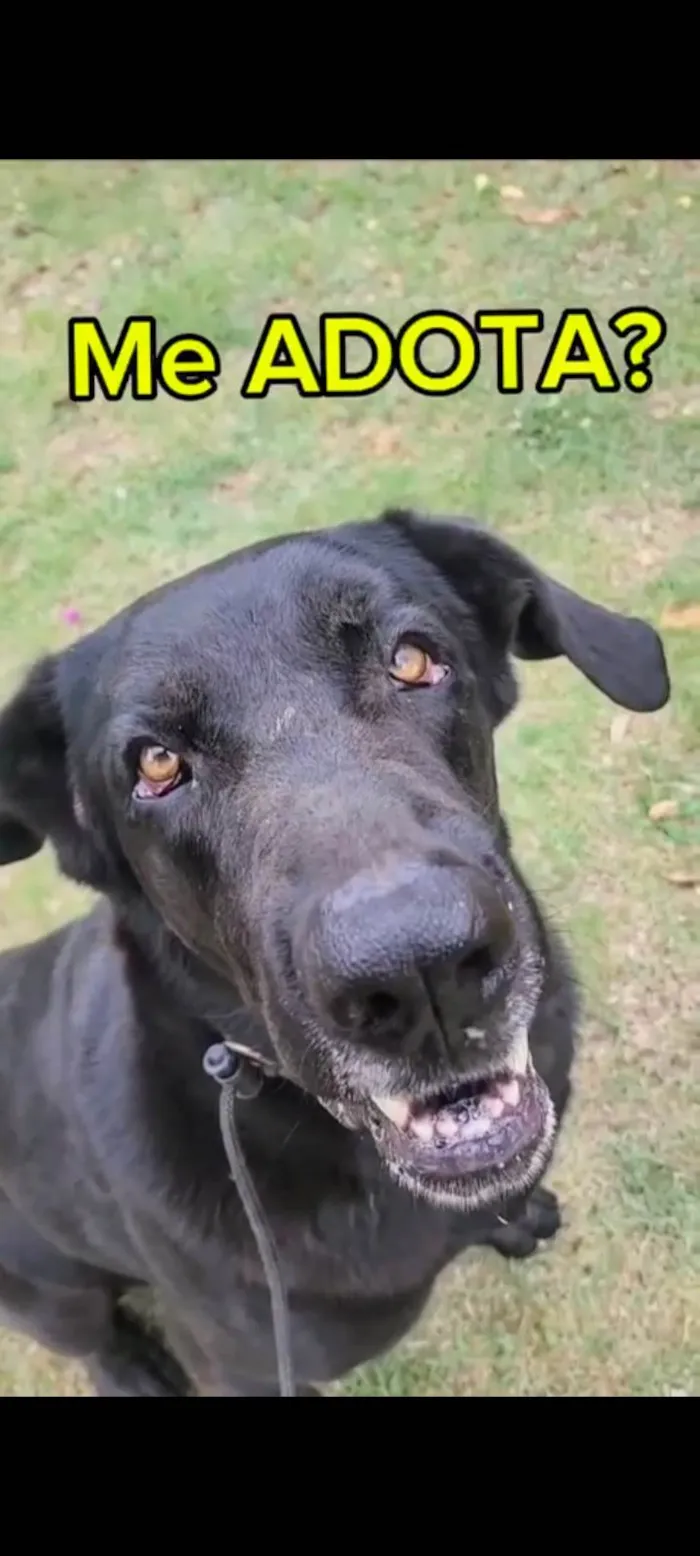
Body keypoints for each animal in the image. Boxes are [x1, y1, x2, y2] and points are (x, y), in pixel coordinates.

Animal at [0, 513, 665, 1400]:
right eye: (156, 765)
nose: (419, 974)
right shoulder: (243, 1367)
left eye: (412, 658)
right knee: (88, 1331)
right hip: (50, 1282)